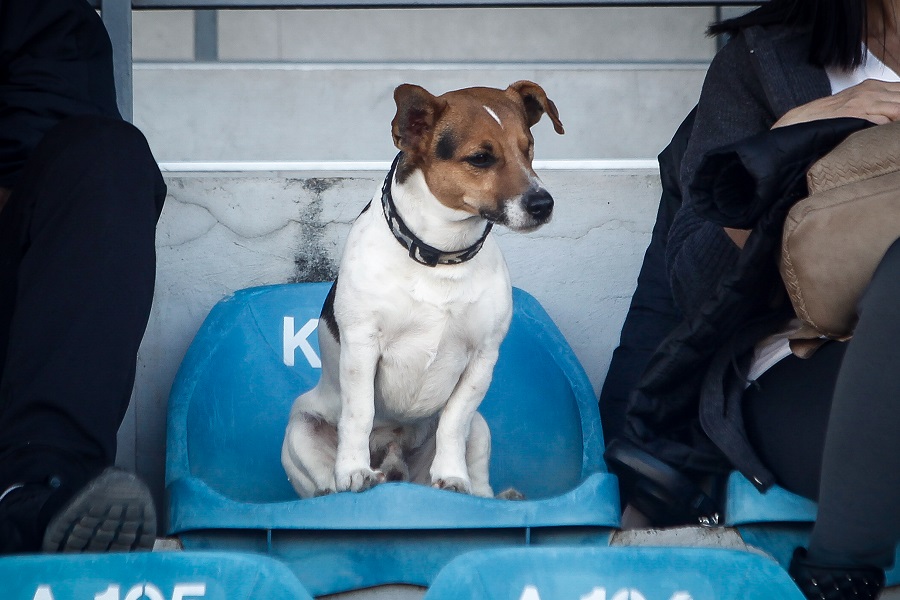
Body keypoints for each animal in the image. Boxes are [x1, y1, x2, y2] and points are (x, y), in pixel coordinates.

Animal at [282, 82, 564, 500]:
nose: (543, 204)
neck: (441, 255)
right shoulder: (362, 346)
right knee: (322, 488)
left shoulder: (483, 358)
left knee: (478, 475)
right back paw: (343, 484)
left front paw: (451, 475)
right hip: (301, 428)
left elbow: (453, 422)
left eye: (528, 148)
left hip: (481, 429)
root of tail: (394, 464)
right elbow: (359, 413)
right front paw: (352, 470)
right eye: (481, 158)